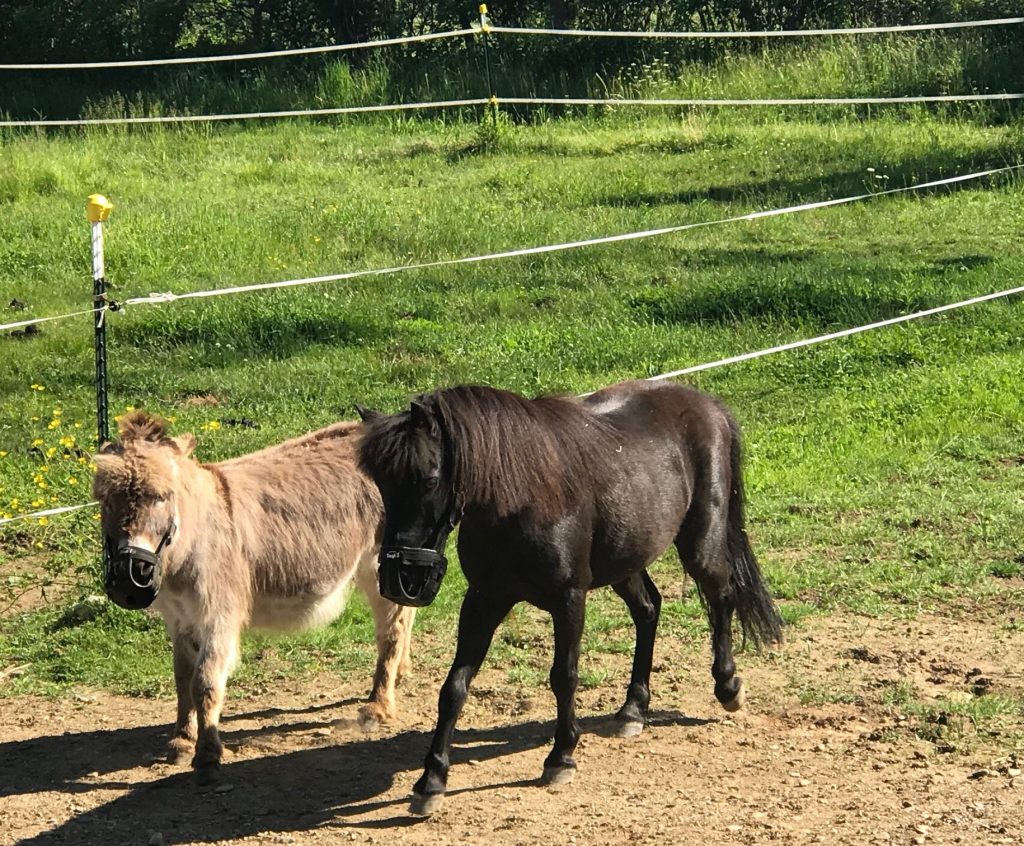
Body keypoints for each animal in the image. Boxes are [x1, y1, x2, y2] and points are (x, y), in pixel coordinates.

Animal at [92, 411, 416, 784]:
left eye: (162, 496)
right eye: (105, 501)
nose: (129, 581)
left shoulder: (218, 613)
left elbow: (205, 682)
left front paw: (207, 755)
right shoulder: (179, 618)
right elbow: (182, 678)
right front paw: (182, 741)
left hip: (378, 561)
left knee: (393, 628)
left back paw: (378, 706)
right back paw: (401, 673)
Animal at [356, 379, 783, 815]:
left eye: (428, 478)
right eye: (380, 484)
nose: (401, 580)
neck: (520, 497)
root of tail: (706, 403)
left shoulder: (569, 599)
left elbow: (564, 676)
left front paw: (561, 757)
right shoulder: (483, 600)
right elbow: (455, 686)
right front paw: (432, 779)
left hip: (700, 545)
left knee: (723, 596)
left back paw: (728, 687)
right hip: (624, 562)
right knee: (648, 609)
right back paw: (633, 709)